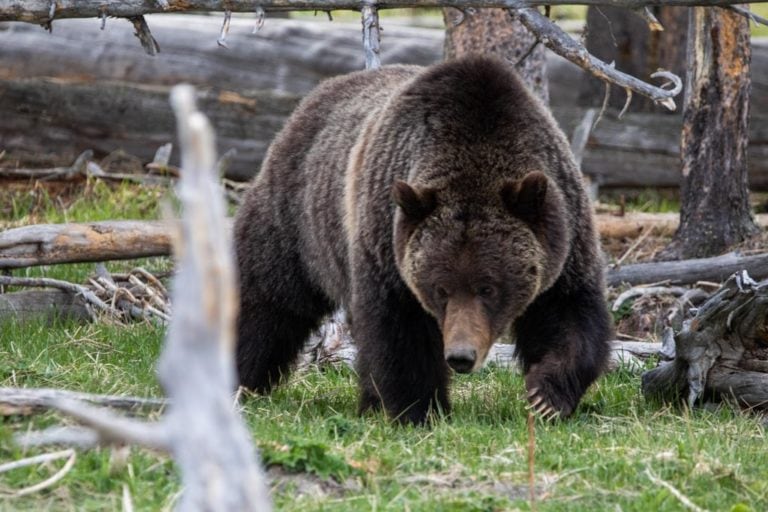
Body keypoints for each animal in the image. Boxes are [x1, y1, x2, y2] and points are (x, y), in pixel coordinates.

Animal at [234, 56, 612, 424]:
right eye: (441, 288)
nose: (461, 356)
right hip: (298, 223)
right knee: (267, 302)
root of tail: (314, 96)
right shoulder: (388, 247)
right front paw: (421, 410)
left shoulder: (564, 239)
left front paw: (546, 396)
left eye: (488, 287)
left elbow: (569, 316)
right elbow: (400, 334)